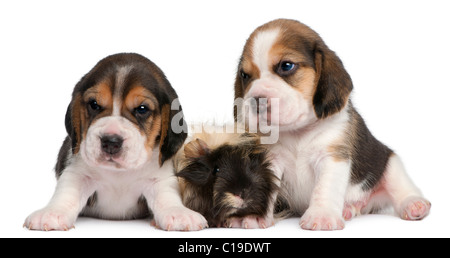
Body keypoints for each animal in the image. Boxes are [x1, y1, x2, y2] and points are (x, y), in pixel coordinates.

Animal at [24, 53, 207, 232]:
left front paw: (178, 213)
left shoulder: (159, 177)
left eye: (142, 109)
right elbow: (66, 192)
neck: (118, 174)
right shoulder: (77, 172)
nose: (111, 141)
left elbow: (167, 195)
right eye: (94, 104)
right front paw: (51, 213)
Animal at [234, 19, 430, 231]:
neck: (297, 132)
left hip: (389, 162)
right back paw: (348, 209)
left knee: (401, 187)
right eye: (245, 75)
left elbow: (325, 188)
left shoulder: (331, 157)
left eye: (286, 66)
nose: (256, 100)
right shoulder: (272, 160)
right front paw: (257, 215)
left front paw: (321, 216)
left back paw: (414, 204)